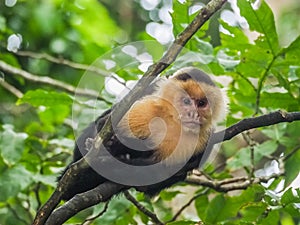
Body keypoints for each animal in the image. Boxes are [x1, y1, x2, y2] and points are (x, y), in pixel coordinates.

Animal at [58, 67, 225, 200]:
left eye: (201, 103)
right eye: (186, 102)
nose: (193, 114)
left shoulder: (206, 138)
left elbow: (156, 177)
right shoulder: (149, 101)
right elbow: (104, 122)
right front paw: (113, 144)